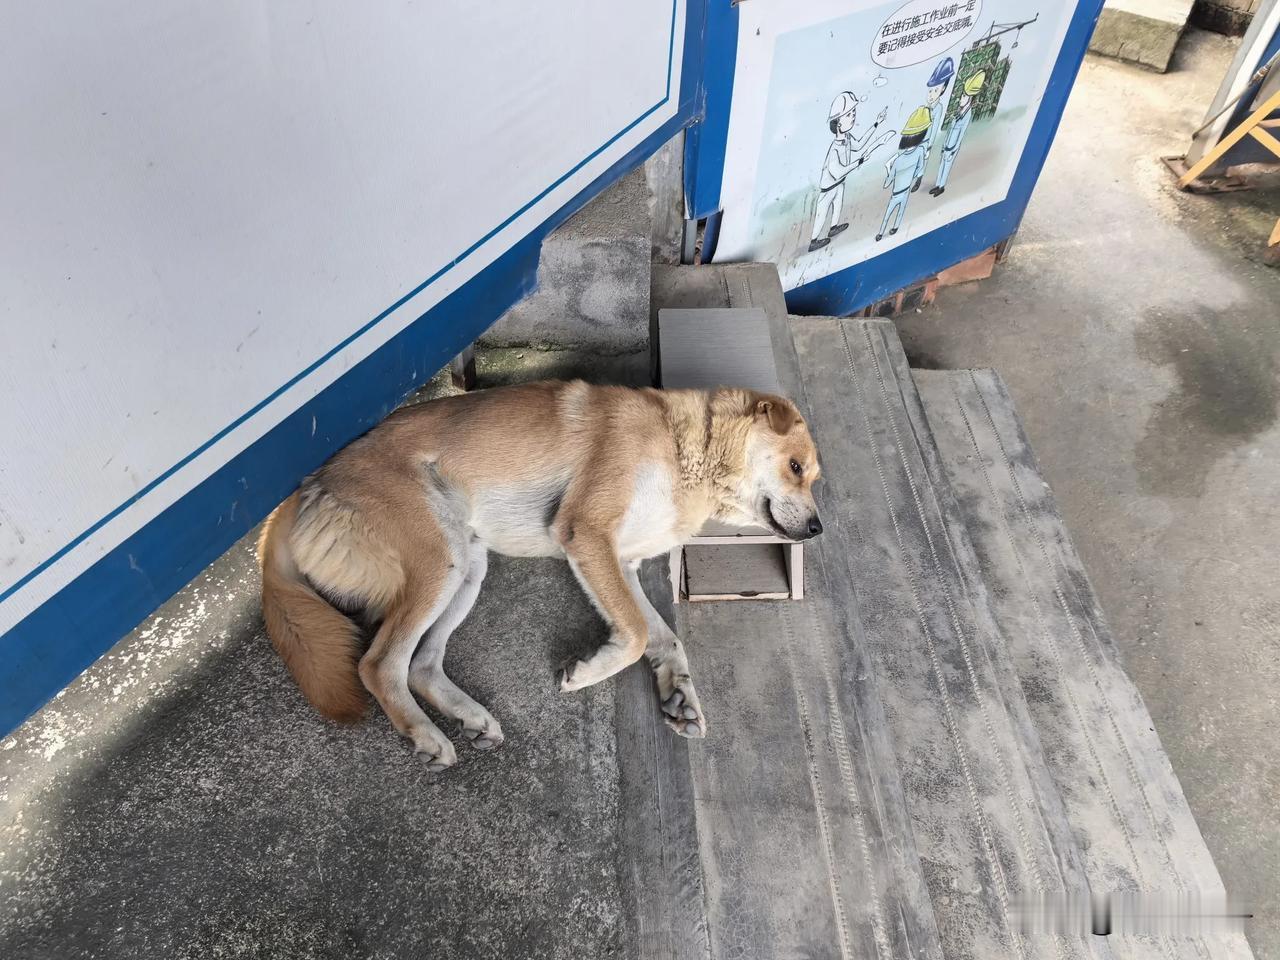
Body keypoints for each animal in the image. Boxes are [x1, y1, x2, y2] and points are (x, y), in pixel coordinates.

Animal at [256, 378, 824, 773]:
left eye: (811, 475)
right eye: (796, 468)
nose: (818, 529)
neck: (689, 447)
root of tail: (309, 485)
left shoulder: (620, 564)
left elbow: (664, 638)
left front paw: (680, 695)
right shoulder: (588, 533)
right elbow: (637, 636)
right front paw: (590, 672)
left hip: (468, 566)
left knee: (421, 665)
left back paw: (469, 717)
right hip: (441, 559)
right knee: (379, 665)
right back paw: (424, 735)